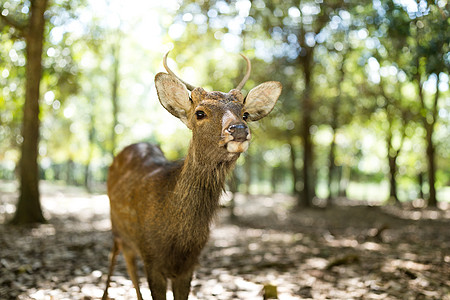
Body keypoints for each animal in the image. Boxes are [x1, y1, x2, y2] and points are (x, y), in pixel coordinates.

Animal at [103, 51, 282, 300]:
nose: (238, 130)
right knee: (123, 261)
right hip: (118, 228)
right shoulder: (151, 257)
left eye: (245, 114)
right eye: (200, 113)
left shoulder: (189, 265)